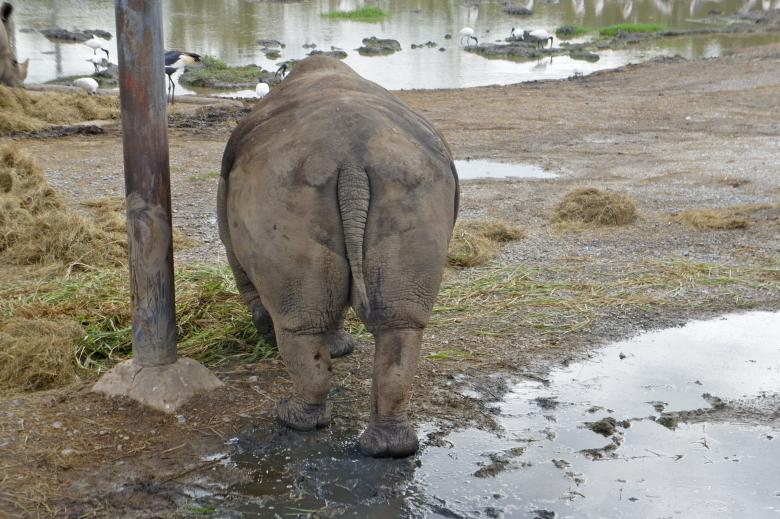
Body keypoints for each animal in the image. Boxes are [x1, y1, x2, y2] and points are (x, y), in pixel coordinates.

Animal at [218, 56, 459, 457]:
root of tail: (351, 160)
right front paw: (342, 348)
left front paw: (268, 332)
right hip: (411, 180)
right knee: (399, 323)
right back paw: (390, 449)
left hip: (281, 184)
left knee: (300, 324)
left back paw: (291, 419)